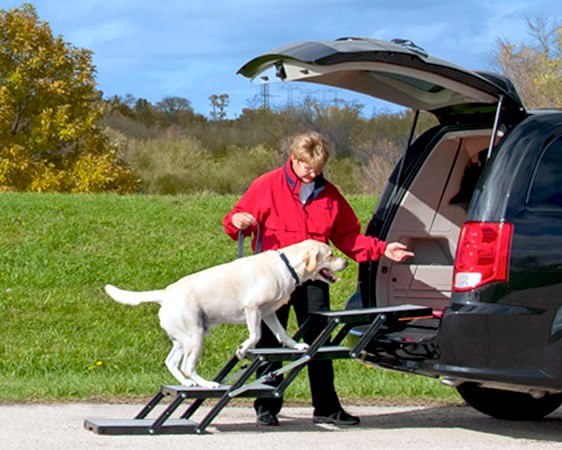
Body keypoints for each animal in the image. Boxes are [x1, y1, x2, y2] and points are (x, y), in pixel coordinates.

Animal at [103, 241, 344, 388]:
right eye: (331, 254)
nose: (346, 262)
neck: (288, 266)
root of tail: (165, 294)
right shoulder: (252, 308)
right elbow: (255, 336)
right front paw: (242, 350)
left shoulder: (268, 313)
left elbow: (282, 334)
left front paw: (297, 346)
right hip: (195, 336)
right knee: (187, 366)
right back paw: (207, 384)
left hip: (182, 339)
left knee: (171, 362)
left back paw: (188, 384)